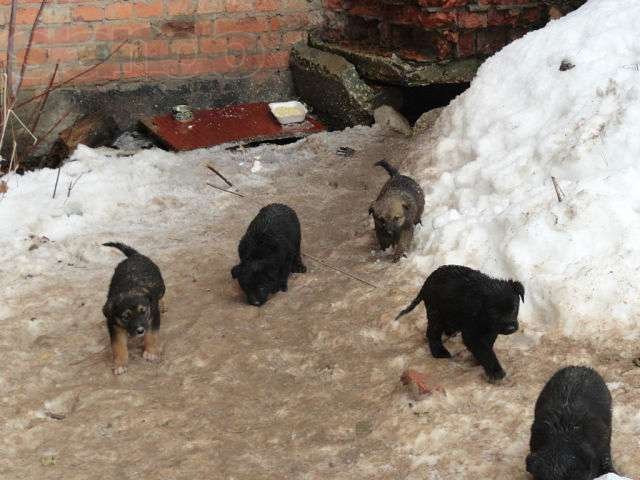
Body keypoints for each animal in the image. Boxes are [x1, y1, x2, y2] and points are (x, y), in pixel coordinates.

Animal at [102, 244, 165, 376]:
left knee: (160, 296)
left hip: (162, 287)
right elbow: (118, 345)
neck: (128, 288)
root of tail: (135, 255)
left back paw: (162, 304)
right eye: (126, 317)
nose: (140, 331)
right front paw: (120, 364)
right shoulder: (114, 324)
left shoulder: (153, 316)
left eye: (143, 311)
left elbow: (152, 335)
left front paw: (150, 352)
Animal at [396, 264, 524, 380]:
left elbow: (488, 344)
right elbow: (483, 350)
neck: (480, 309)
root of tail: (426, 283)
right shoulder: (471, 332)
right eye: (493, 311)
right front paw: (495, 370)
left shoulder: (491, 329)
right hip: (436, 313)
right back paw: (439, 352)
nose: (510, 328)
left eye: (514, 307)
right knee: (432, 334)